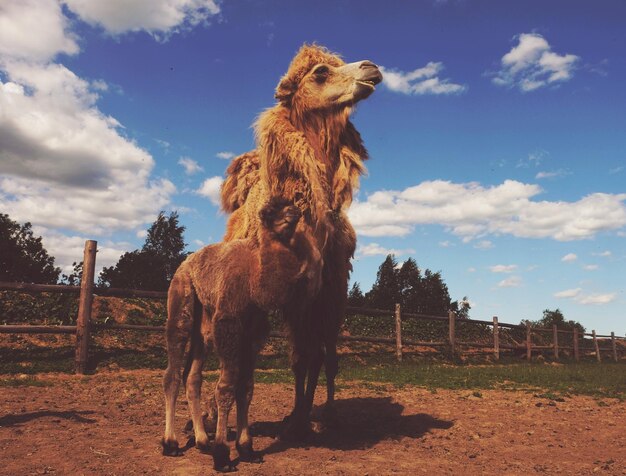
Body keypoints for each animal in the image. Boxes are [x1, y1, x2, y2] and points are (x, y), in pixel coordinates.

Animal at [162, 198, 316, 472]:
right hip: (182, 300)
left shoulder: (254, 335)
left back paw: (202, 441)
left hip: (204, 324)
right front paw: (223, 456)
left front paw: (246, 449)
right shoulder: (229, 325)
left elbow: (246, 387)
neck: (255, 280)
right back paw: (171, 444)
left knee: (192, 376)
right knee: (173, 371)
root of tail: (184, 264)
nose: (293, 211)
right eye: (268, 211)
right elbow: (225, 388)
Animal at [219, 45, 380, 438]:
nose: (372, 68)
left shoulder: (313, 295)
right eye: (320, 72)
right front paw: (294, 417)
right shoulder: (285, 297)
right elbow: (293, 357)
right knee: (311, 354)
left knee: (326, 355)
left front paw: (304, 418)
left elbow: (309, 357)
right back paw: (302, 413)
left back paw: (324, 413)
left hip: (331, 298)